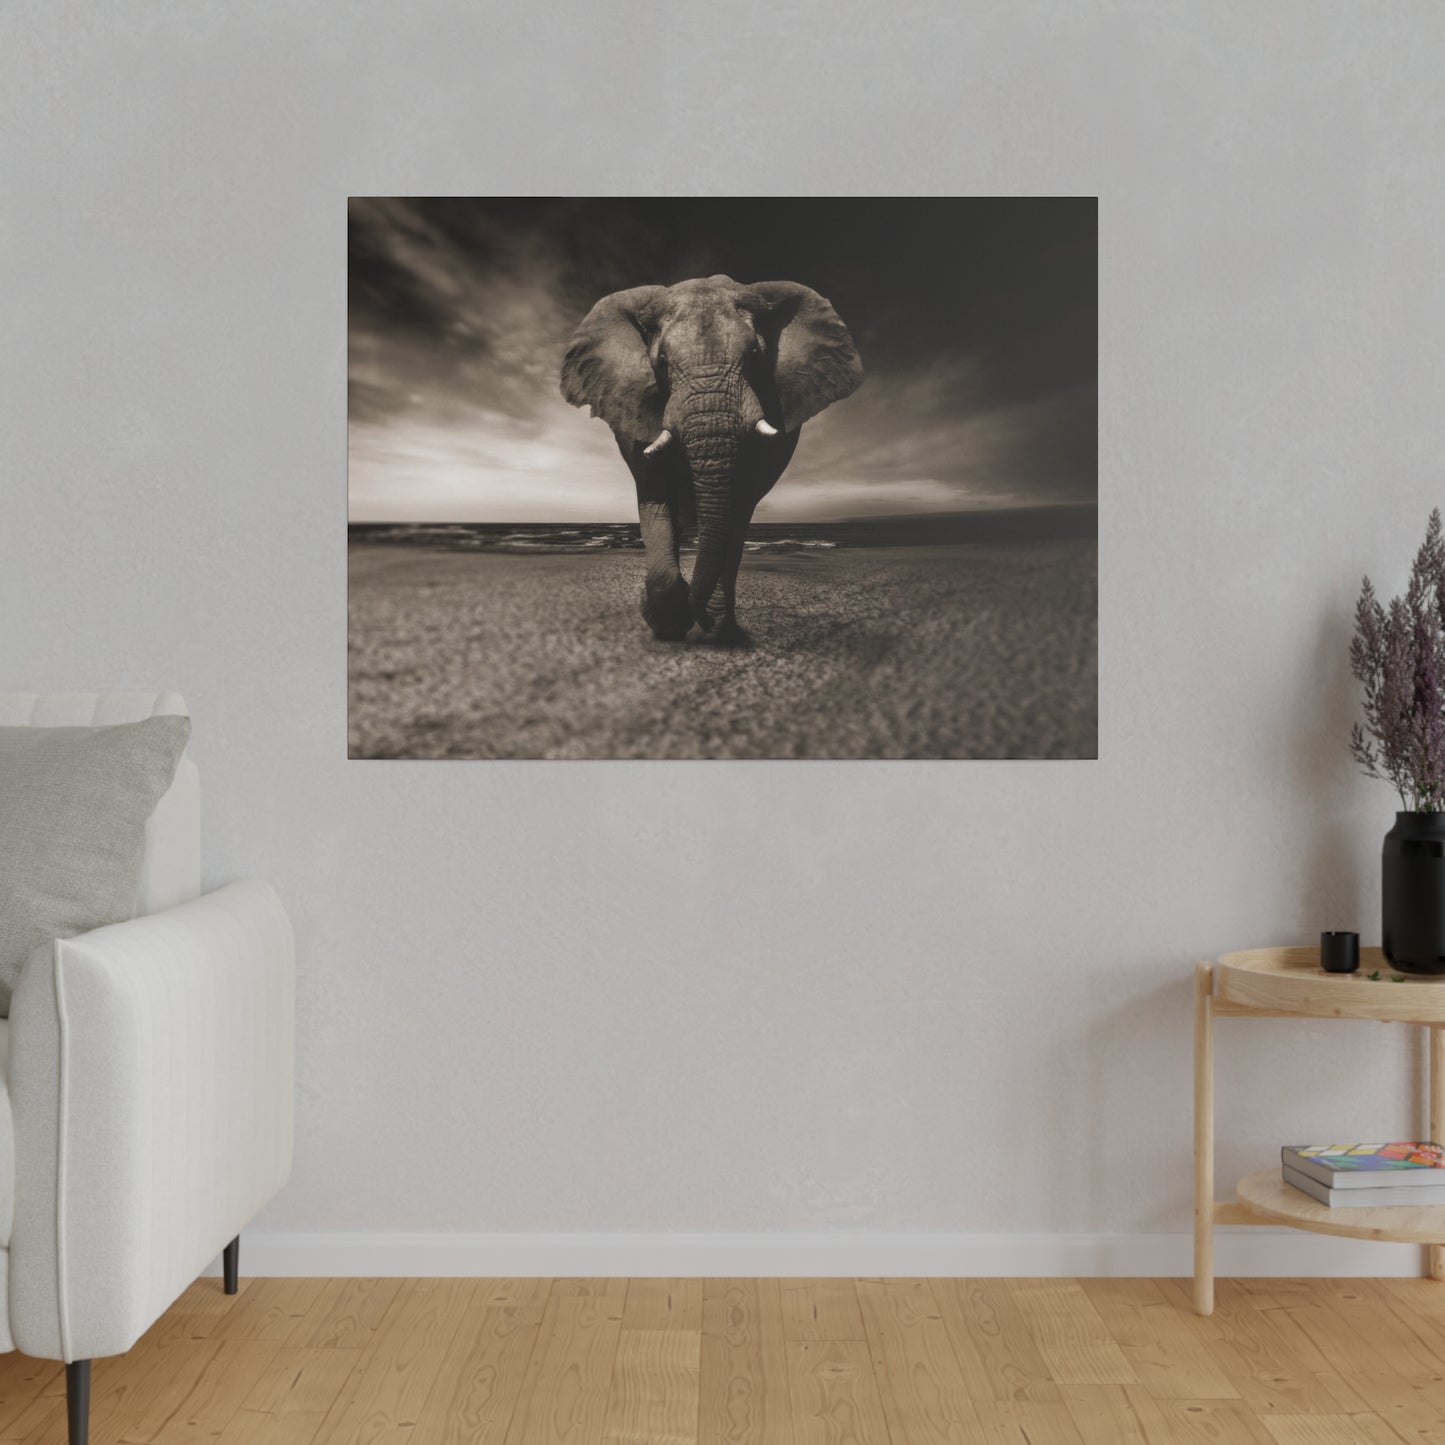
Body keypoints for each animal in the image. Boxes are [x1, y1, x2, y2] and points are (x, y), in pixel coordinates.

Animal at [560, 273, 855, 647]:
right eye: (662, 363)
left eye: (755, 356)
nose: (695, 612)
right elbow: (655, 495)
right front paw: (668, 623)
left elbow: (738, 508)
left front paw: (710, 627)